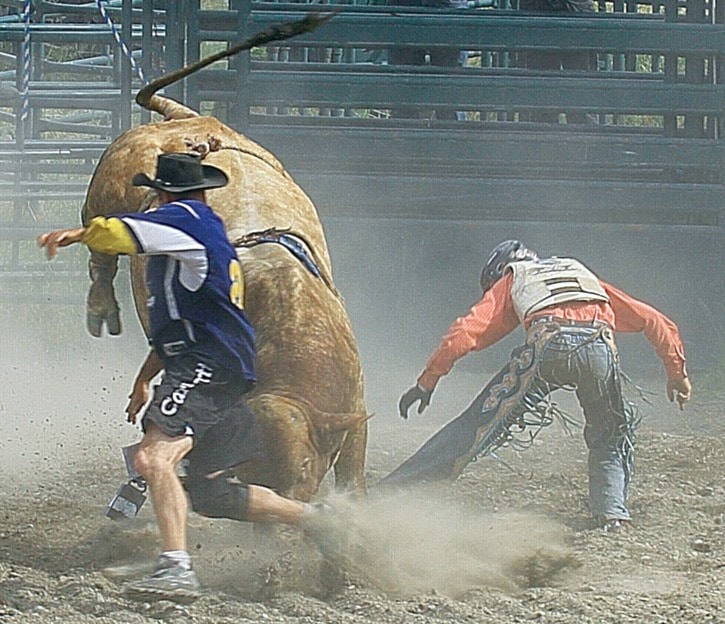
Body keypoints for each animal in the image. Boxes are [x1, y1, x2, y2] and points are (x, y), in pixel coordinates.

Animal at [80, 13, 368, 502]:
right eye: (251, 470)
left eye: (305, 467)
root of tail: (187, 123)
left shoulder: (356, 402)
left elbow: (352, 468)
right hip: (106, 187)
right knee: (99, 254)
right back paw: (101, 307)